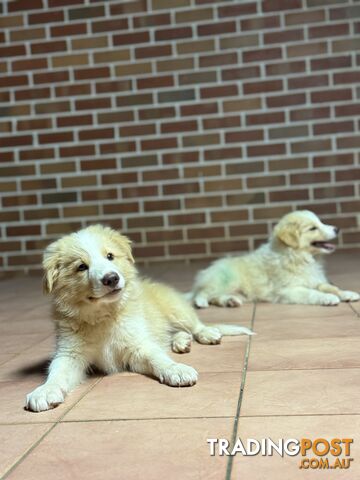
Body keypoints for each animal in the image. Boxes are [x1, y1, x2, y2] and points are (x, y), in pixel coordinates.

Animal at [25, 225, 252, 412]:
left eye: (110, 256)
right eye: (81, 267)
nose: (112, 278)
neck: (103, 317)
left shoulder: (138, 344)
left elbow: (157, 357)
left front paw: (176, 370)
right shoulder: (70, 354)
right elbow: (57, 372)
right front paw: (45, 391)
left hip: (176, 309)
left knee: (194, 325)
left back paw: (206, 334)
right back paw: (181, 342)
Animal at [190, 209, 360, 308]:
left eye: (321, 222)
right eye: (313, 228)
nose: (337, 229)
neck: (299, 257)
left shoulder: (315, 280)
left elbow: (331, 287)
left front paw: (347, 294)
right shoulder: (289, 289)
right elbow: (311, 293)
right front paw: (328, 298)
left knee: (215, 297)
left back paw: (230, 301)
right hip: (225, 279)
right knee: (204, 292)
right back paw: (201, 302)